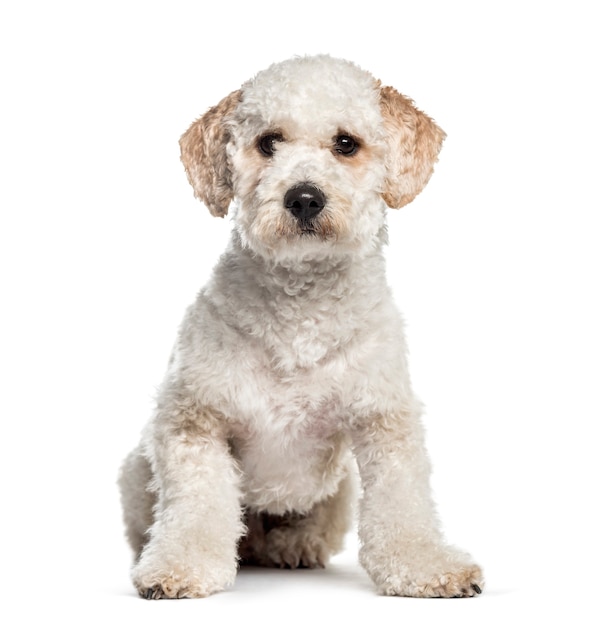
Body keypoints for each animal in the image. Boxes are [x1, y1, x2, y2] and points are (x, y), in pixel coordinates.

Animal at [118, 56, 482, 596]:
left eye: (346, 143)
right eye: (269, 142)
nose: (305, 197)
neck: (301, 312)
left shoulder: (384, 421)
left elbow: (403, 503)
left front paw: (428, 566)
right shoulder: (193, 421)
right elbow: (196, 504)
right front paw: (178, 567)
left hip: (340, 485)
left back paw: (295, 546)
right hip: (135, 470)